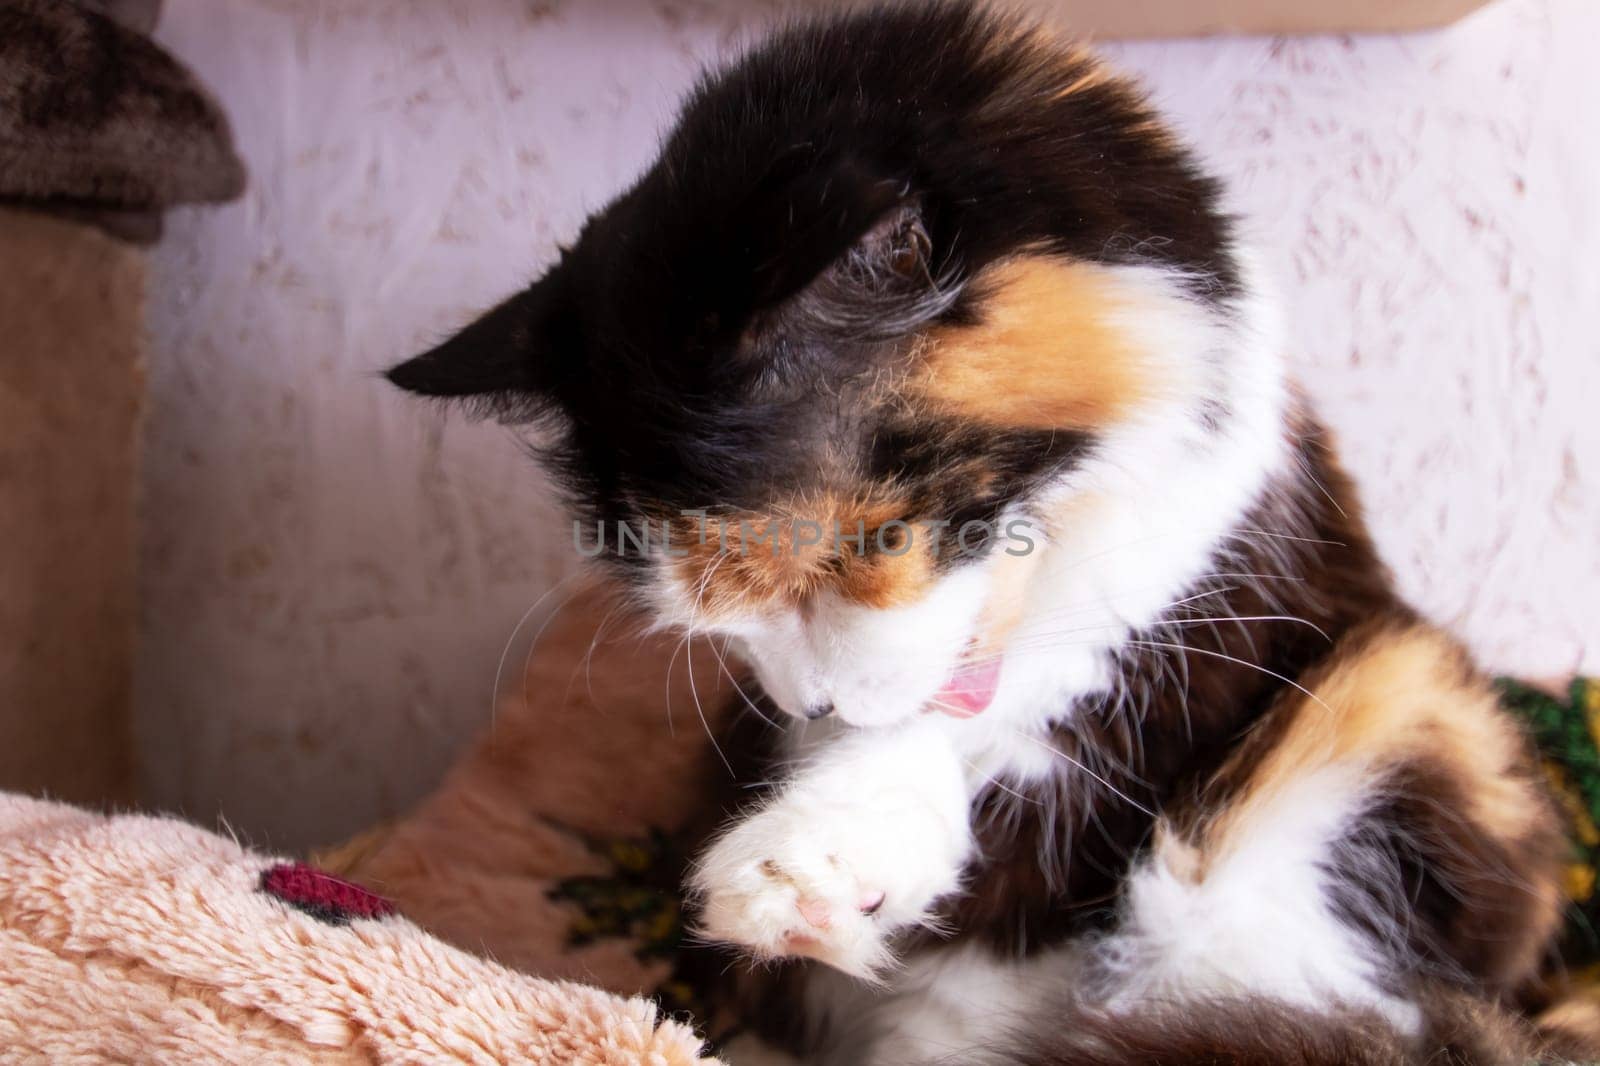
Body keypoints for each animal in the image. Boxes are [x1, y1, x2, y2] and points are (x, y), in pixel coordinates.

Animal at [384, 4, 1587, 1056]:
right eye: (716, 615)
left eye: (865, 546)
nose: (810, 704)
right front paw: (811, 878)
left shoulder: (1179, 646)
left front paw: (813, 865)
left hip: (1399, 693)